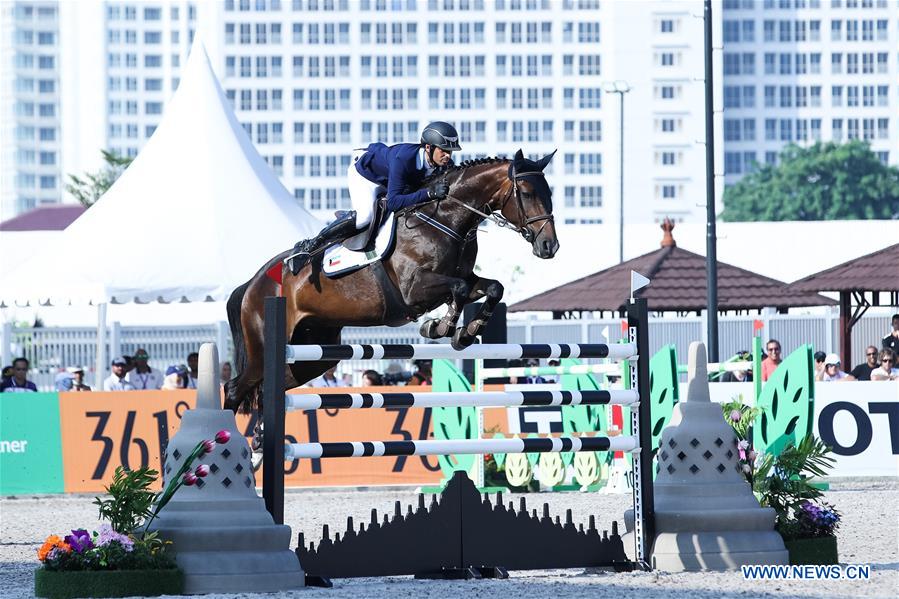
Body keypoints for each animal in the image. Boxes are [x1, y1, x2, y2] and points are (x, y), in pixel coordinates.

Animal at [225, 150, 560, 422]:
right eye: (527, 192)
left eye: (549, 192)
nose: (549, 246)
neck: (445, 218)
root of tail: (251, 283)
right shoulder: (415, 290)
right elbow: (459, 291)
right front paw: (440, 327)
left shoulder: (465, 276)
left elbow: (492, 288)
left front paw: (466, 331)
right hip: (264, 346)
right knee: (235, 388)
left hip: (317, 349)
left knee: (269, 387)